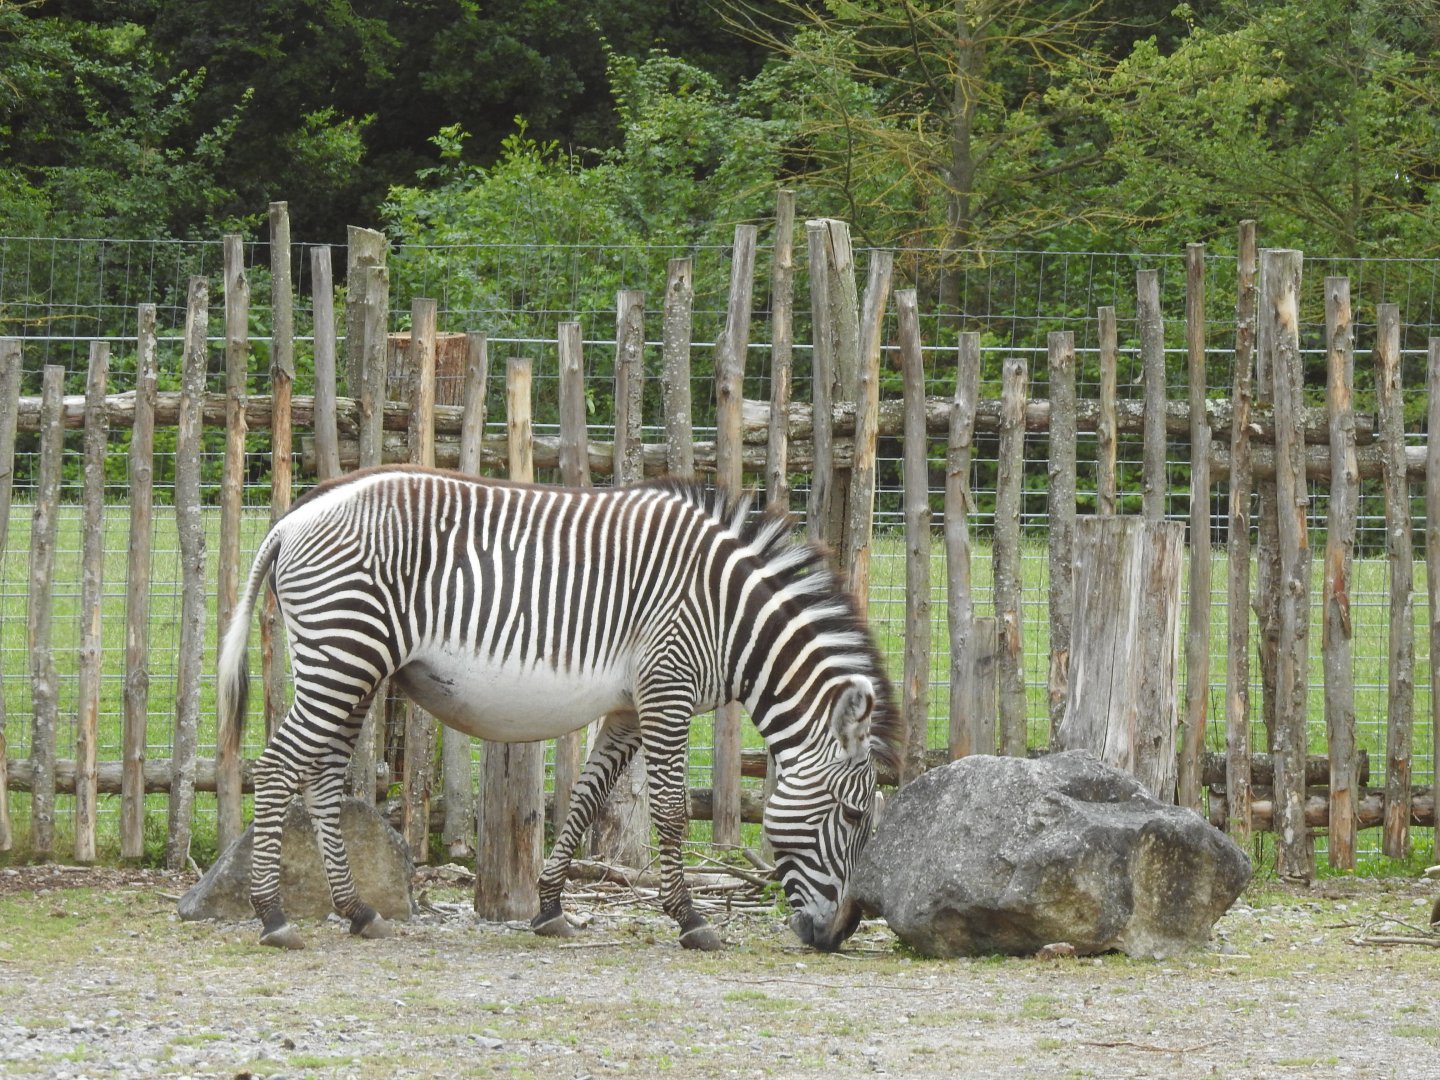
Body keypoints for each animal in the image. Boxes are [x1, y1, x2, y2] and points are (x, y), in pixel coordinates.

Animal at [218, 464, 901, 952]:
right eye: (852, 815)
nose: (838, 936)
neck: (730, 615)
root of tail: (294, 516)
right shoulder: (667, 688)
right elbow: (671, 812)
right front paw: (690, 920)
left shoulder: (630, 708)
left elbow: (586, 798)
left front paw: (549, 908)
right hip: (343, 653)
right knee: (276, 768)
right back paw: (274, 917)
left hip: (354, 667)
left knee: (322, 780)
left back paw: (358, 912)